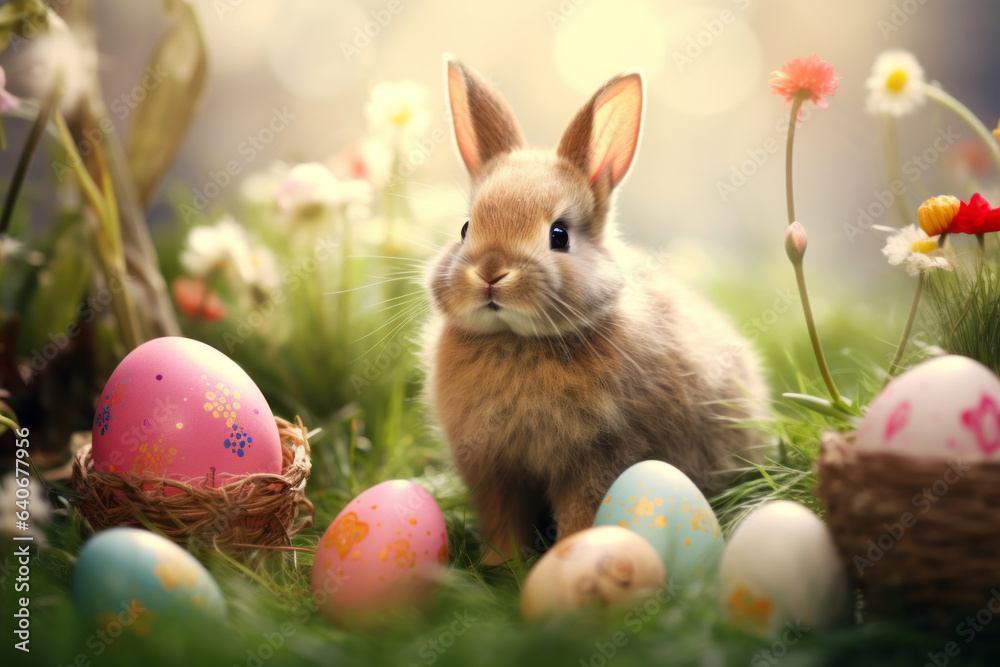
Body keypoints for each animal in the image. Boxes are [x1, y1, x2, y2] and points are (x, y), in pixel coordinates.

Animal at [422, 57, 769, 565]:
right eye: (466, 228)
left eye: (559, 235)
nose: (490, 273)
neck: (518, 340)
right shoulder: (494, 469)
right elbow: (503, 519)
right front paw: (499, 565)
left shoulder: (597, 460)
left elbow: (581, 514)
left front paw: (572, 559)